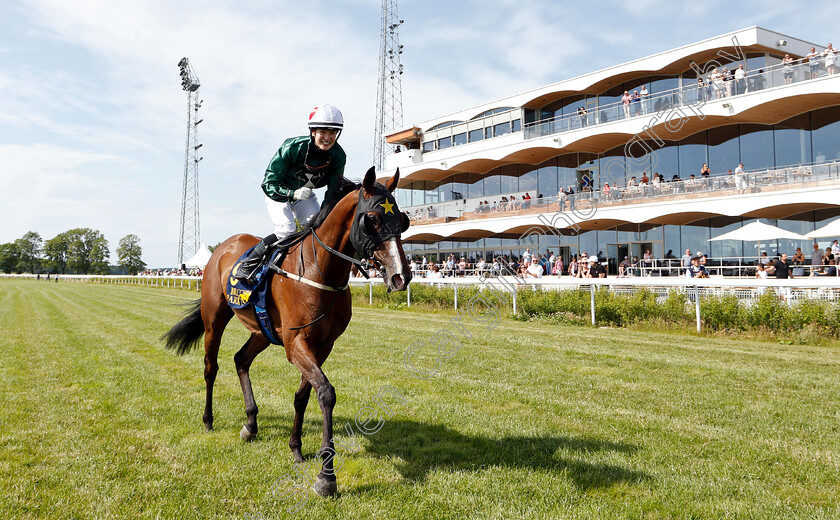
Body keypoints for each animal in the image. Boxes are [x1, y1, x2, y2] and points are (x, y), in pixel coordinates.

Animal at [162, 169, 410, 498]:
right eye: (372, 219)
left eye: (403, 220)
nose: (401, 276)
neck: (320, 271)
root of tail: (223, 247)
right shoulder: (296, 344)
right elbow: (326, 393)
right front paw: (326, 476)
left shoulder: (322, 345)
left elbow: (303, 395)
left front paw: (296, 448)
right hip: (215, 318)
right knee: (210, 367)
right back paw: (208, 419)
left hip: (261, 331)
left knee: (241, 359)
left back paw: (251, 424)